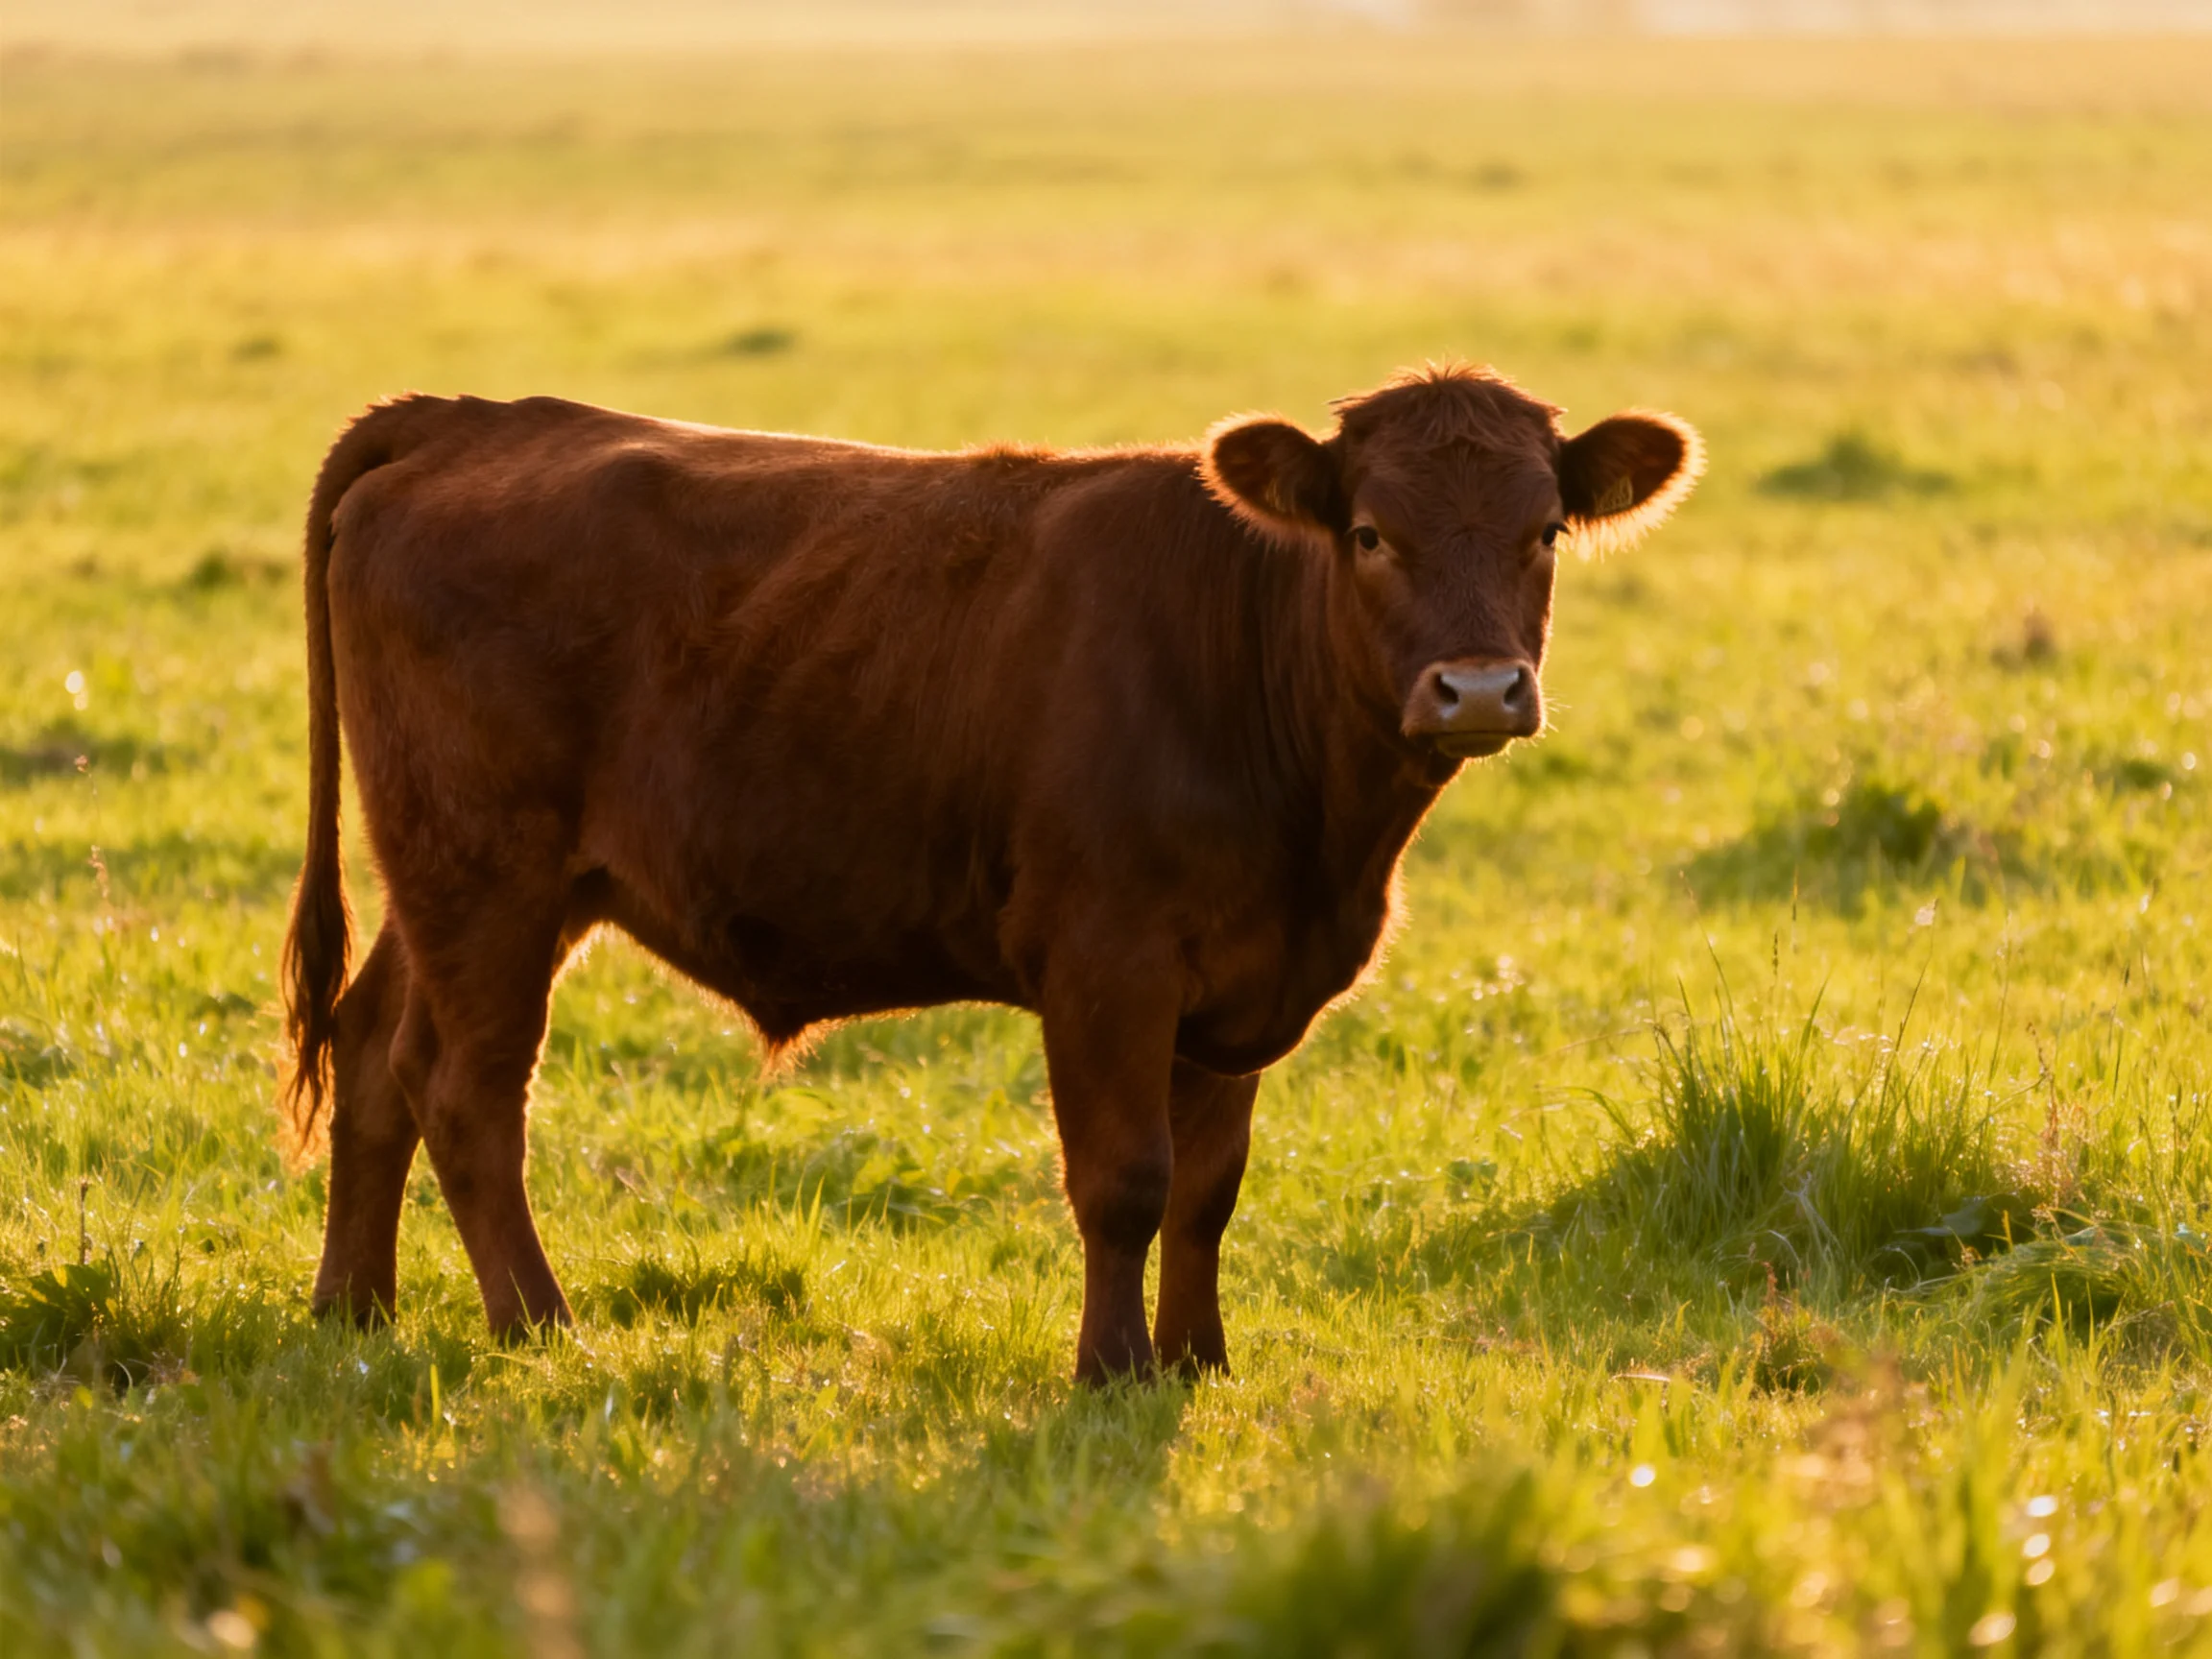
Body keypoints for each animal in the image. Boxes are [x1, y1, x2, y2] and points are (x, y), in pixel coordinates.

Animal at [281, 365, 1701, 1382]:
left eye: (1543, 532)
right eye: (1366, 534)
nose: (1479, 689)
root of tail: (468, 420)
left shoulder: (1237, 984)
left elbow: (1208, 1191)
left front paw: (1197, 1363)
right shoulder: (1106, 962)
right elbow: (1124, 1182)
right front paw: (1111, 1373)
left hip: (461, 881)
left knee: (374, 1049)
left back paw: (354, 1312)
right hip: (490, 873)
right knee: (468, 1092)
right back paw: (539, 1326)